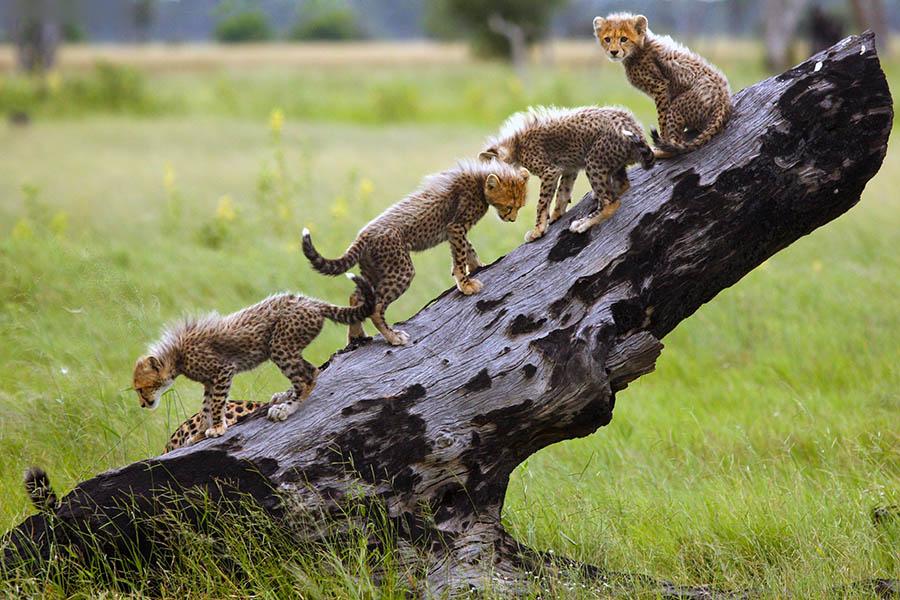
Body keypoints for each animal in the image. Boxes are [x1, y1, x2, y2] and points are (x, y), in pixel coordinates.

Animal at [133, 273, 375, 435]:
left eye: (141, 388)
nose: (143, 405)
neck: (176, 356)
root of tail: (310, 301)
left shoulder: (223, 371)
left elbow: (217, 403)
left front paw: (217, 427)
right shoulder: (210, 381)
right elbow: (205, 407)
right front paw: (200, 432)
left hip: (280, 345)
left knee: (307, 378)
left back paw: (286, 408)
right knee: (312, 370)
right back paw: (285, 395)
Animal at [302, 159, 529, 346]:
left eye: (520, 206)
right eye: (510, 206)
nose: (512, 219)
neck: (480, 181)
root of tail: (363, 234)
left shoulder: (454, 230)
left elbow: (468, 248)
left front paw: (476, 266)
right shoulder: (456, 226)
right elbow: (461, 252)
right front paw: (465, 283)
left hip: (374, 270)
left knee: (357, 297)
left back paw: (356, 335)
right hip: (400, 270)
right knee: (376, 307)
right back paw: (393, 337)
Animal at [480, 105, 655, 240]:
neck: (515, 145)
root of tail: (634, 127)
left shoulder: (549, 171)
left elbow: (542, 203)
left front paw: (538, 230)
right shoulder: (568, 168)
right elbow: (562, 193)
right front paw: (555, 216)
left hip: (593, 161)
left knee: (611, 202)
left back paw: (583, 222)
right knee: (623, 185)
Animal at [593, 13, 732, 158]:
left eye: (624, 39)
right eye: (607, 39)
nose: (614, 52)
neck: (639, 49)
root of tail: (724, 98)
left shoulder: (660, 87)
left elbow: (662, 118)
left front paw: (663, 138)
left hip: (678, 106)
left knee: (677, 144)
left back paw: (661, 151)